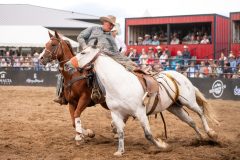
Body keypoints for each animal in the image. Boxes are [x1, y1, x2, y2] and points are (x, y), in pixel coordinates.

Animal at [65, 43, 218, 156]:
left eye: (83, 53)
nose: (66, 64)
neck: (120, 83)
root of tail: (180, 76)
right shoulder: (116, 113)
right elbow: (120, 132)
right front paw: (120, 151)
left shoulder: (140, 112)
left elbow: (148, 135)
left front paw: (162, 145)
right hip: (175, 107)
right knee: (191, 122)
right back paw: (201, 138)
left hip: (189, 102)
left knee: (200, 112)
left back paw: (211, 133)